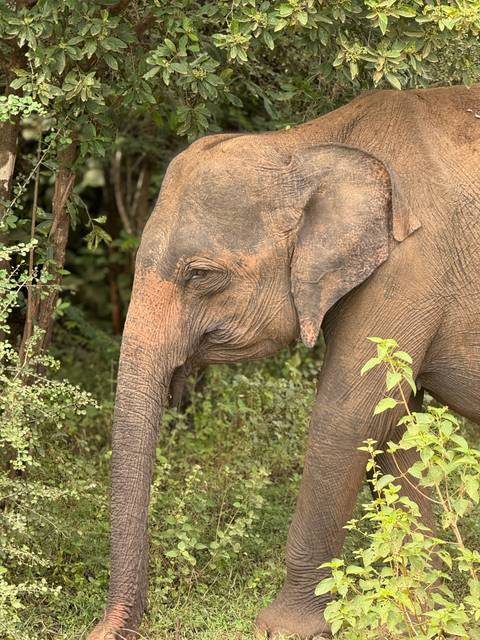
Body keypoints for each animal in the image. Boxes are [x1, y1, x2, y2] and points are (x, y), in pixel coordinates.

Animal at [88, 83, 480, 639]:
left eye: (201, 275)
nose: (98, 631)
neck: (307, 144)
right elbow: (402, 428)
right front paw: (421, 617)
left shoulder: (413, 266)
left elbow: (348, 416)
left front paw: (284, 627)